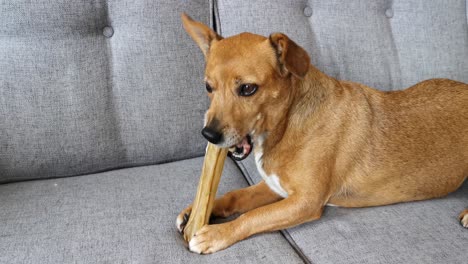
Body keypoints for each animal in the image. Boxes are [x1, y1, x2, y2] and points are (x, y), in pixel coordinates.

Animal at [176, 13, 468, 254]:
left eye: (248, 89)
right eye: (208, 87)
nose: (208, 135)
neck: (287, 122)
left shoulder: (305, 201)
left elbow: (252, 216)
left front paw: (216, 234)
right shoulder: (276, 186)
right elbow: (236, 195)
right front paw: (196, 211)